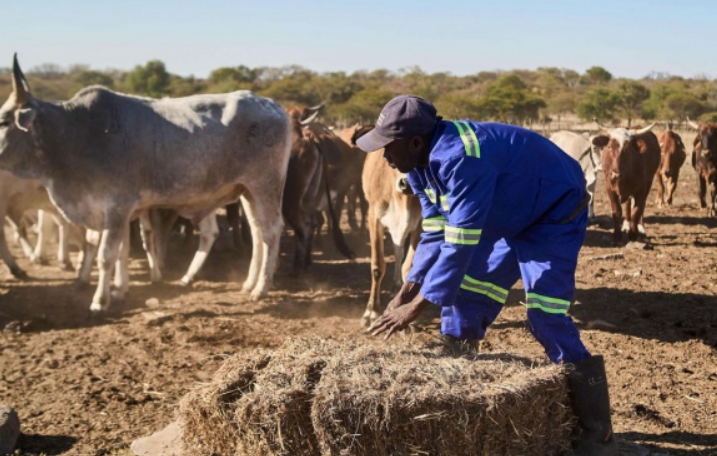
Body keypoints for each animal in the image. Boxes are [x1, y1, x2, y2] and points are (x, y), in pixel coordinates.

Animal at [0, 55, 291, 311]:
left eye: (3, 120)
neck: (80, 132)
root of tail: (274, 107)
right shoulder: (113, 211)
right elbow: (118, 250)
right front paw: (119, 290)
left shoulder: (116, 208)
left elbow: (107, 255)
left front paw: (100, 300)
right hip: (247, 191)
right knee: (256, 232)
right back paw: (247, 282)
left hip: (265, 185)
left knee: (271, 230)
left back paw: (261, 288)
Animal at [358, 129, 422, 327]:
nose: (406, 183)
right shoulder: (374, 217)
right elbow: (377, 265)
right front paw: (371, 312)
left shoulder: (420, 224)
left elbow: (408, 267)